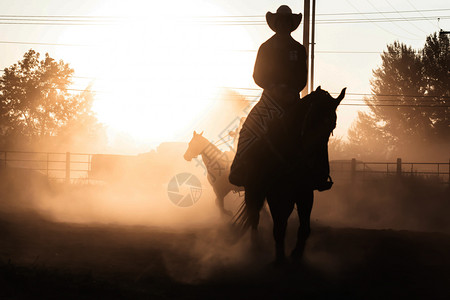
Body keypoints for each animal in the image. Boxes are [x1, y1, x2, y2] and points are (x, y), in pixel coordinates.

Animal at [230, 86, 346, 262]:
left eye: (332, 126)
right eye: (309, 120)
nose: (318, 171)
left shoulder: (305, 193)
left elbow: (304, 228)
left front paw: (296, 254)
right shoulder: (274, 193)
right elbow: (278, 227)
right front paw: (280, 258)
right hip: (253, 190)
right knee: (254, 217)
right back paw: (255, 247)